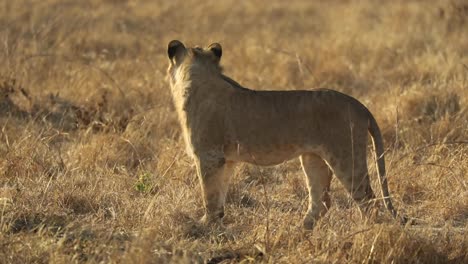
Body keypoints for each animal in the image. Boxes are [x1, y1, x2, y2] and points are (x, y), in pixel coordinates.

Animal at [166, 38, 400, 229]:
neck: (200, 75)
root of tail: (359, 105)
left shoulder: (208, 155)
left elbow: (209, 194)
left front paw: (204, 225)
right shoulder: (226, 160)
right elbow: (220, 192)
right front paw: (216, 221)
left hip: (345, 156)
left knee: (368, 199)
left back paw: (364, 231)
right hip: (312, 157)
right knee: (322, 201)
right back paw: (300, 229)